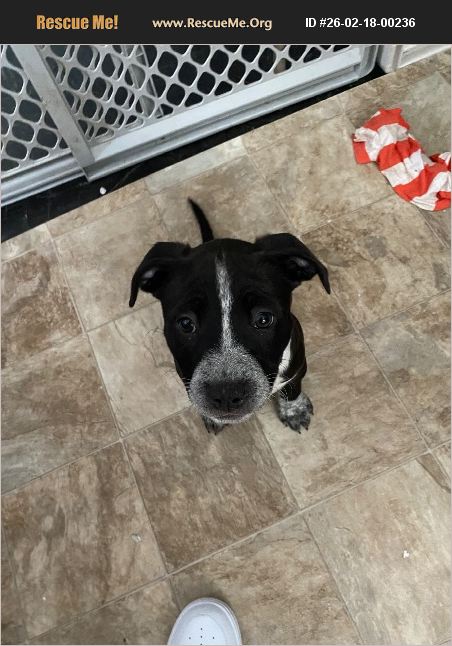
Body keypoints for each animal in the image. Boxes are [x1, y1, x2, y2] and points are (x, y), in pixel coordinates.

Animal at [129, 199, 330, 434]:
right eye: (186, 323)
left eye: (264, 319)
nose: (226, 395)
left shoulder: (297, 365)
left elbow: (292, 388)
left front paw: (294, 410)